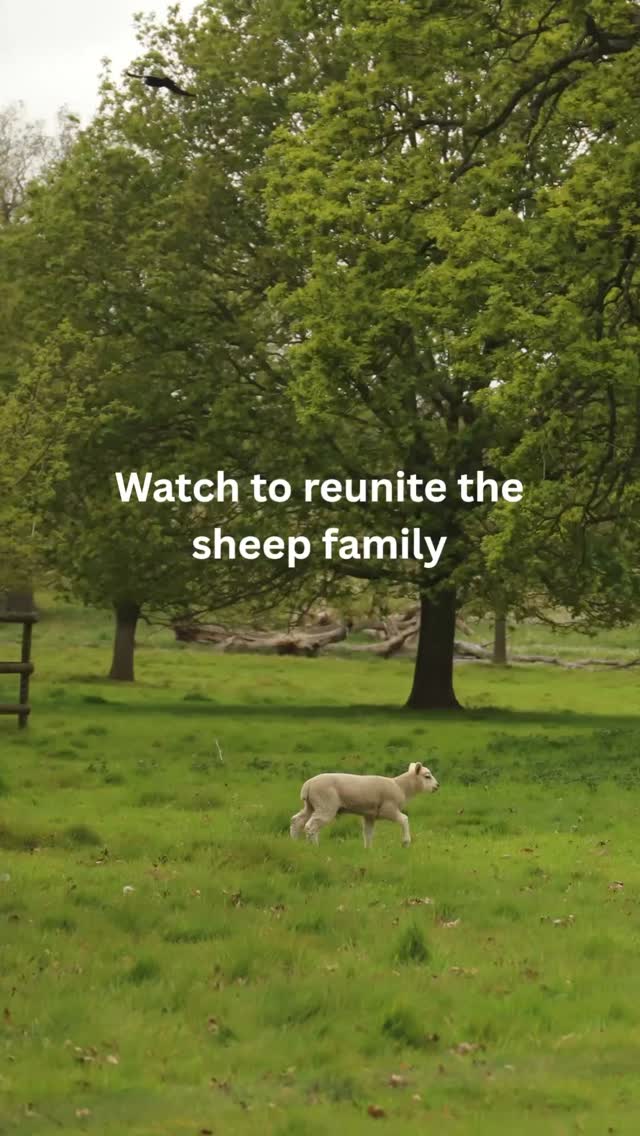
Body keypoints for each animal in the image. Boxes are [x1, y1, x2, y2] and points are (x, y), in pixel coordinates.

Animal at [289, 761, 439, 848]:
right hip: (325, 804)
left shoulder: (370, 815)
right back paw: (314, 847)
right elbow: (404, 819)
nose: (437, 786)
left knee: (297, 820)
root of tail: (308, 785)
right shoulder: (388, 809)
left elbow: (368, 833)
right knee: (311, 826)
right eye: (427, 776)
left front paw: (368, 850)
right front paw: (406, 842)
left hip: (311, 805)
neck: (401, 787)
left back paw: (295, 843)